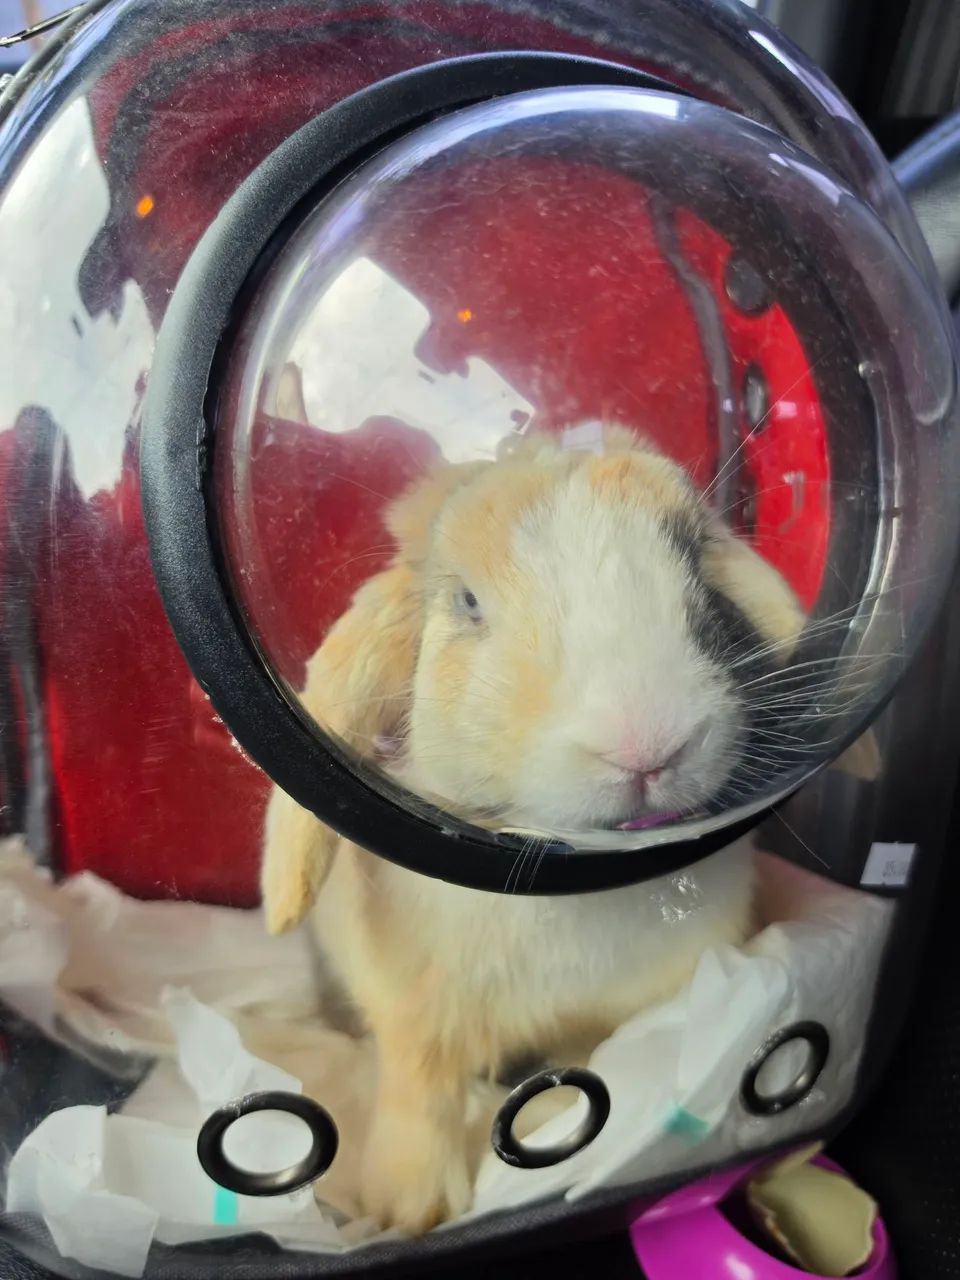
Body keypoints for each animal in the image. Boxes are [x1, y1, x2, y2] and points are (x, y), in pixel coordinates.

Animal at [260, 422, 813, 1234]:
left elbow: (585, 1073)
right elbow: (420, 1092)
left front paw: (554, 1129)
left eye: (697, 579)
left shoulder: (612, 1016)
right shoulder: (414, 1017)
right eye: (468, 603)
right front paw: (409, 1210)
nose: (649, 743)